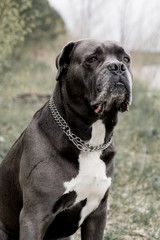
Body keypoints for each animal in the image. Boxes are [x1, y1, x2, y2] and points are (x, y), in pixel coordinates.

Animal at [0, 39, 132, 240]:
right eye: (92, 59)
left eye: (126, 58)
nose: (118, 66)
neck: (88, 143)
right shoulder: (35, 215)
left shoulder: (97, 214)